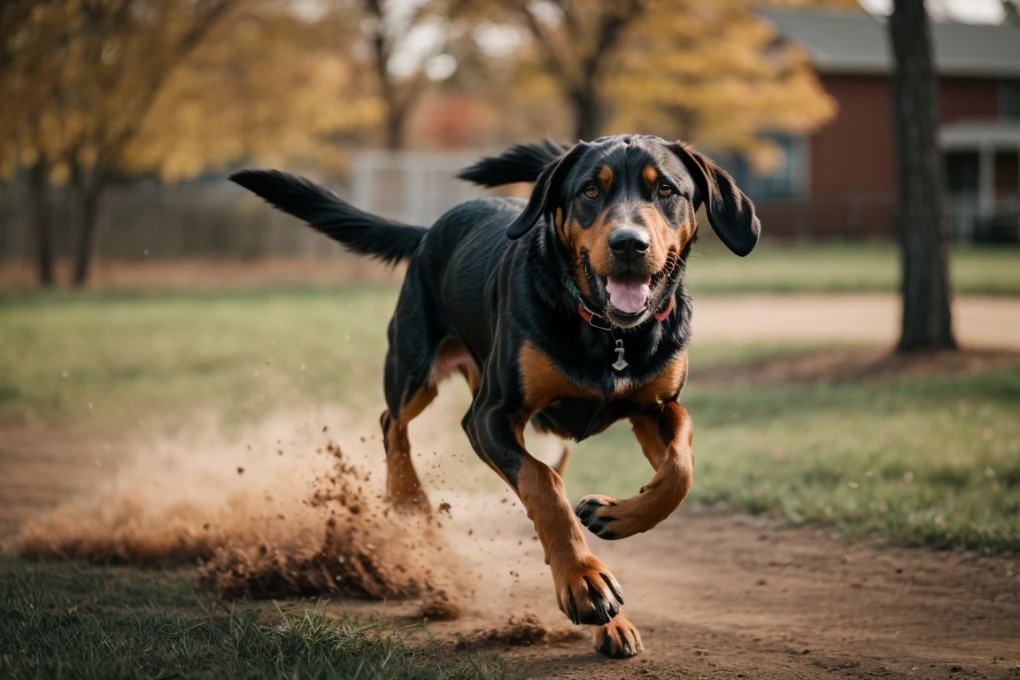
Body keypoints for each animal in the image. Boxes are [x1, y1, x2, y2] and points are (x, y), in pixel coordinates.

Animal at [231, 134, 758, 660]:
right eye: (590, 190)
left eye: (666, 189)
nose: (629, 243)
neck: (610, 336)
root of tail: (429, 231)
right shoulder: (490, 416)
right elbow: (543, 486)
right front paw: (585, 581)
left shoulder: (653, 408)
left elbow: (680, 466)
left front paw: (614, 514)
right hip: (413, 365)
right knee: (392, 420)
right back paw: (407, 497)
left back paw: (613, 621)